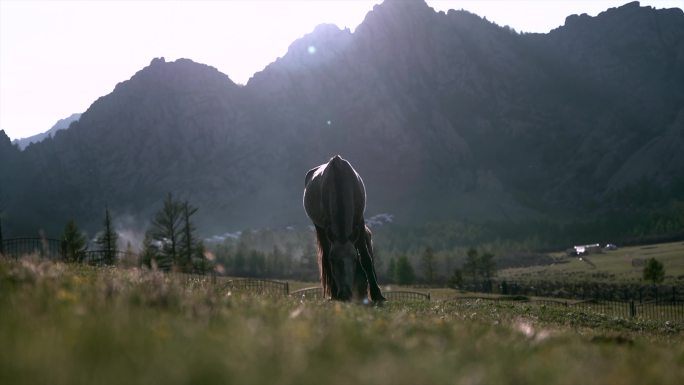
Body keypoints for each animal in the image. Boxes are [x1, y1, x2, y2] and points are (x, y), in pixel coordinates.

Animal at [304, 154, 384, 302]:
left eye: (354, 259)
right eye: (333, 260)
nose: (345, 294)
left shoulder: (359, 221)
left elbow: (365, 257)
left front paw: (377, 294)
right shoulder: (327, 226)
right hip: (319, 228)